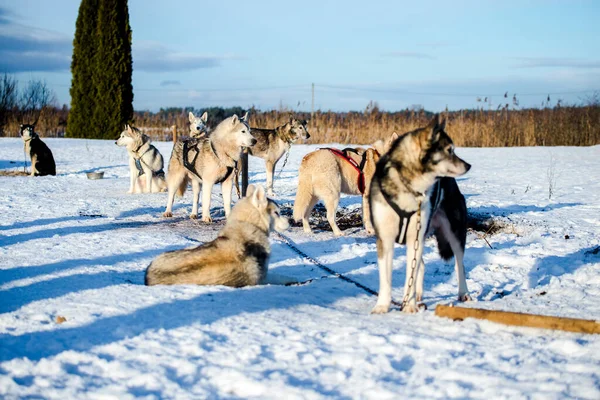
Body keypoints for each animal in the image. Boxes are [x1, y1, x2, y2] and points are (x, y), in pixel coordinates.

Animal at [368, 114, 472, 314]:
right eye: (449, 150)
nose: (468, 165)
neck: (408, 186)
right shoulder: (385, 239)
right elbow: (386, 279)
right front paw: (382, 306)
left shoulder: (414, 237)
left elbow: (411, 273)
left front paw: (408, 306)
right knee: (422, 265)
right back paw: (418, 296)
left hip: (454, 234)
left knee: (459, 264)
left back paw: (463, 293)